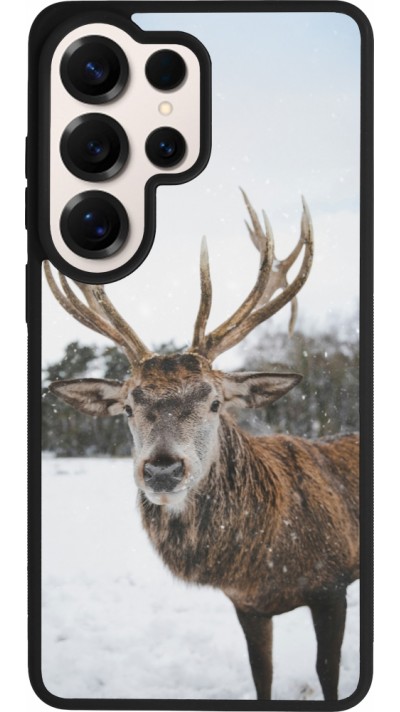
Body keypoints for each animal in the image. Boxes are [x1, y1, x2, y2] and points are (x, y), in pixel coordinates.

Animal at [45, 191, 359, 701]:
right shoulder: (247, 604)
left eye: (214, 402)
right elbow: (262, 676)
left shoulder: (332, 584)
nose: (162, 470)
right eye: (128, 407)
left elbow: (327, 674)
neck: (264, 561)